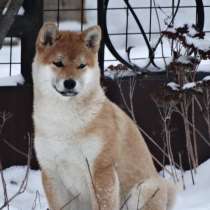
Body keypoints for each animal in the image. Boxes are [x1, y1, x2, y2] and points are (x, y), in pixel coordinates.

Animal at [32, 22, 176, 210]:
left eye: (81, 65)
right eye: (58, 63)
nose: (70, 83)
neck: (65, 122)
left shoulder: (101, 170)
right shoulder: (52, 174)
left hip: (143, 190)